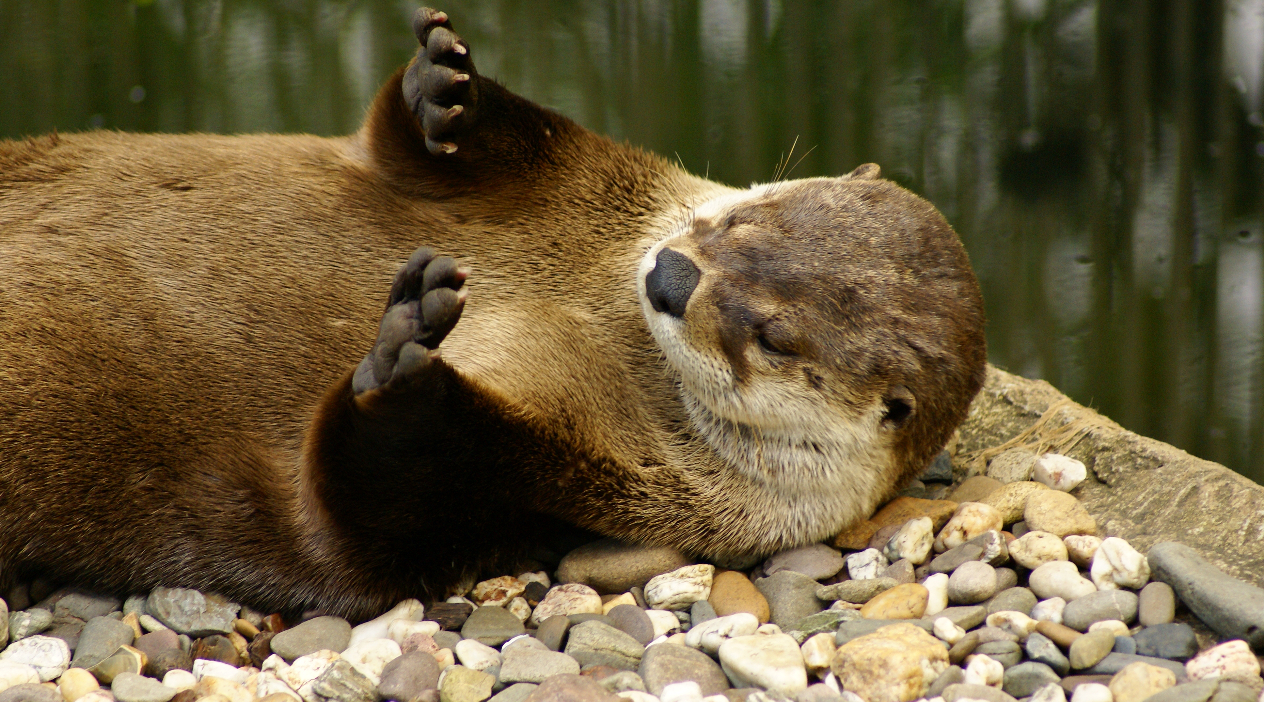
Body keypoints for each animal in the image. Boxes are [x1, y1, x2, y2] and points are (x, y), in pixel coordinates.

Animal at [0, 8, 986, 620]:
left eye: (775, 335)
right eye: (747, 219)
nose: (671, 276)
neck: (592, 298)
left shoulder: (568, 484)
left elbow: (357, 517)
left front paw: (404, 361)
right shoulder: (580, 174)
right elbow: (415, 146)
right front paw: (445, 87)